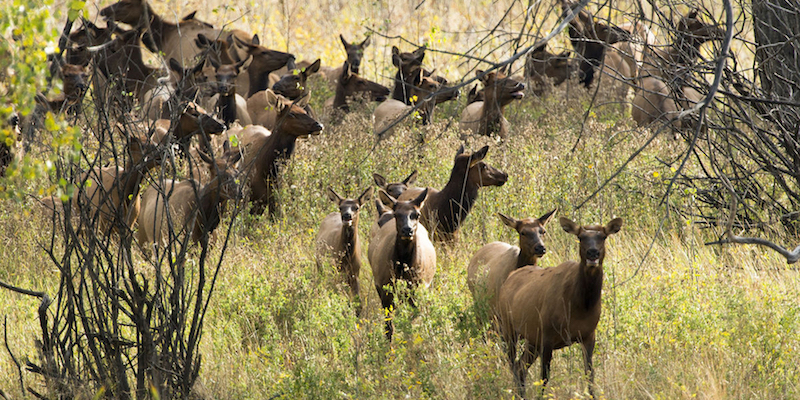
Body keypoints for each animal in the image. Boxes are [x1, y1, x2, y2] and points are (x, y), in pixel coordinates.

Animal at [314, 187, 374, 316]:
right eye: (341, 207)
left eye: (357, 207)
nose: (347, 216)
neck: (348, 257)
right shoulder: (338, 270)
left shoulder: (355, 272)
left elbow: (358, 302)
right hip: (320, 263)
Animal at [370, 189, 438, 340]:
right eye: (397, 214)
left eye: (417, 214)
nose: (407, 230)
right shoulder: (385, 289)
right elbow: (388, 328)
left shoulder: (417, 290)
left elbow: (411, 323)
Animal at [496, 217, 620, 398]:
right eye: (581, 237)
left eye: (603, 237)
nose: (592, 253)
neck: (581, 306)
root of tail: (509, 277)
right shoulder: (547, 335)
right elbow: (544, 377)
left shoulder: (589, 335)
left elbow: (590, 375)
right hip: (509, 328)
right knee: (513, 363)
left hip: (532, 338)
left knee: (520, 366)